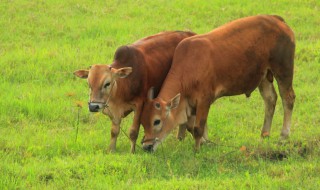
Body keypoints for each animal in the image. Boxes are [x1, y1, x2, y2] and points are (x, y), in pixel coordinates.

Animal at [141, 14, 296, 151]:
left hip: (283, 70)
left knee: (288, 99)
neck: (188, 67)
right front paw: (205, 142)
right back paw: (264, 135)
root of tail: (276, 19)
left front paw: (197, 149)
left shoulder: (204, 100)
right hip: (263, 76)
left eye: (156, 121)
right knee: (270, 99)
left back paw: (283, 136)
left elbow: (198, 128)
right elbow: (191, 126)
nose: (146, 146)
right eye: (142, 122)